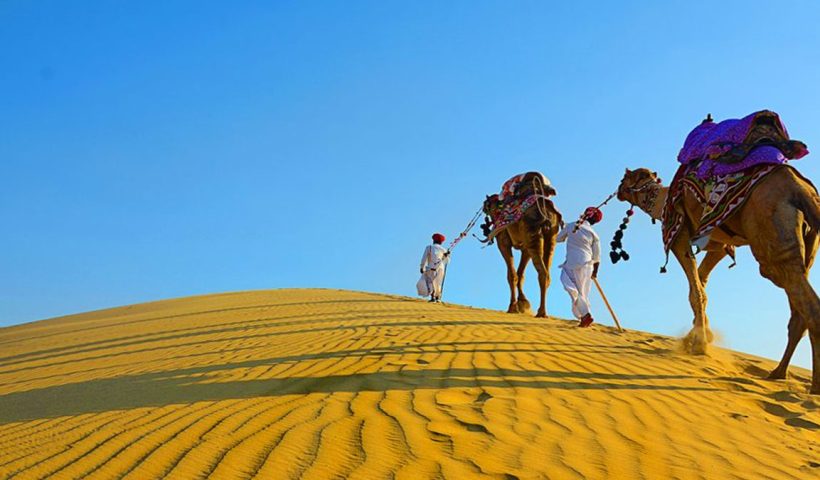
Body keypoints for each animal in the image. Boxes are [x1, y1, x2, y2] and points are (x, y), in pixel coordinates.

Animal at [482, 173, 563, 317]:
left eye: (486, 204)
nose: (483, 207)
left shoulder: (503, 241)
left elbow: (512, 274)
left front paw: (513, 307)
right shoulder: (525, 248)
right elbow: (520, 274)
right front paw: (523, 303)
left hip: (532, 232)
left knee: (542, 272)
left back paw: (541, 312)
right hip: (550, 237)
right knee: (547, 273)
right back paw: (542, 311)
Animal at [617, 165, 820, 394]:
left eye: (625, 179)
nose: (618, 191)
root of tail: (800, 189)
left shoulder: (680, 236)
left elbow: (696, 291)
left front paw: (699, 344)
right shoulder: (719, 245)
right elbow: (700, 285)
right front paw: (697, 335)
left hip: (770, 240)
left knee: (806, 304)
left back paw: (813, 386)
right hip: (807, 246)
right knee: (799, 310)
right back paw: (778, 373)